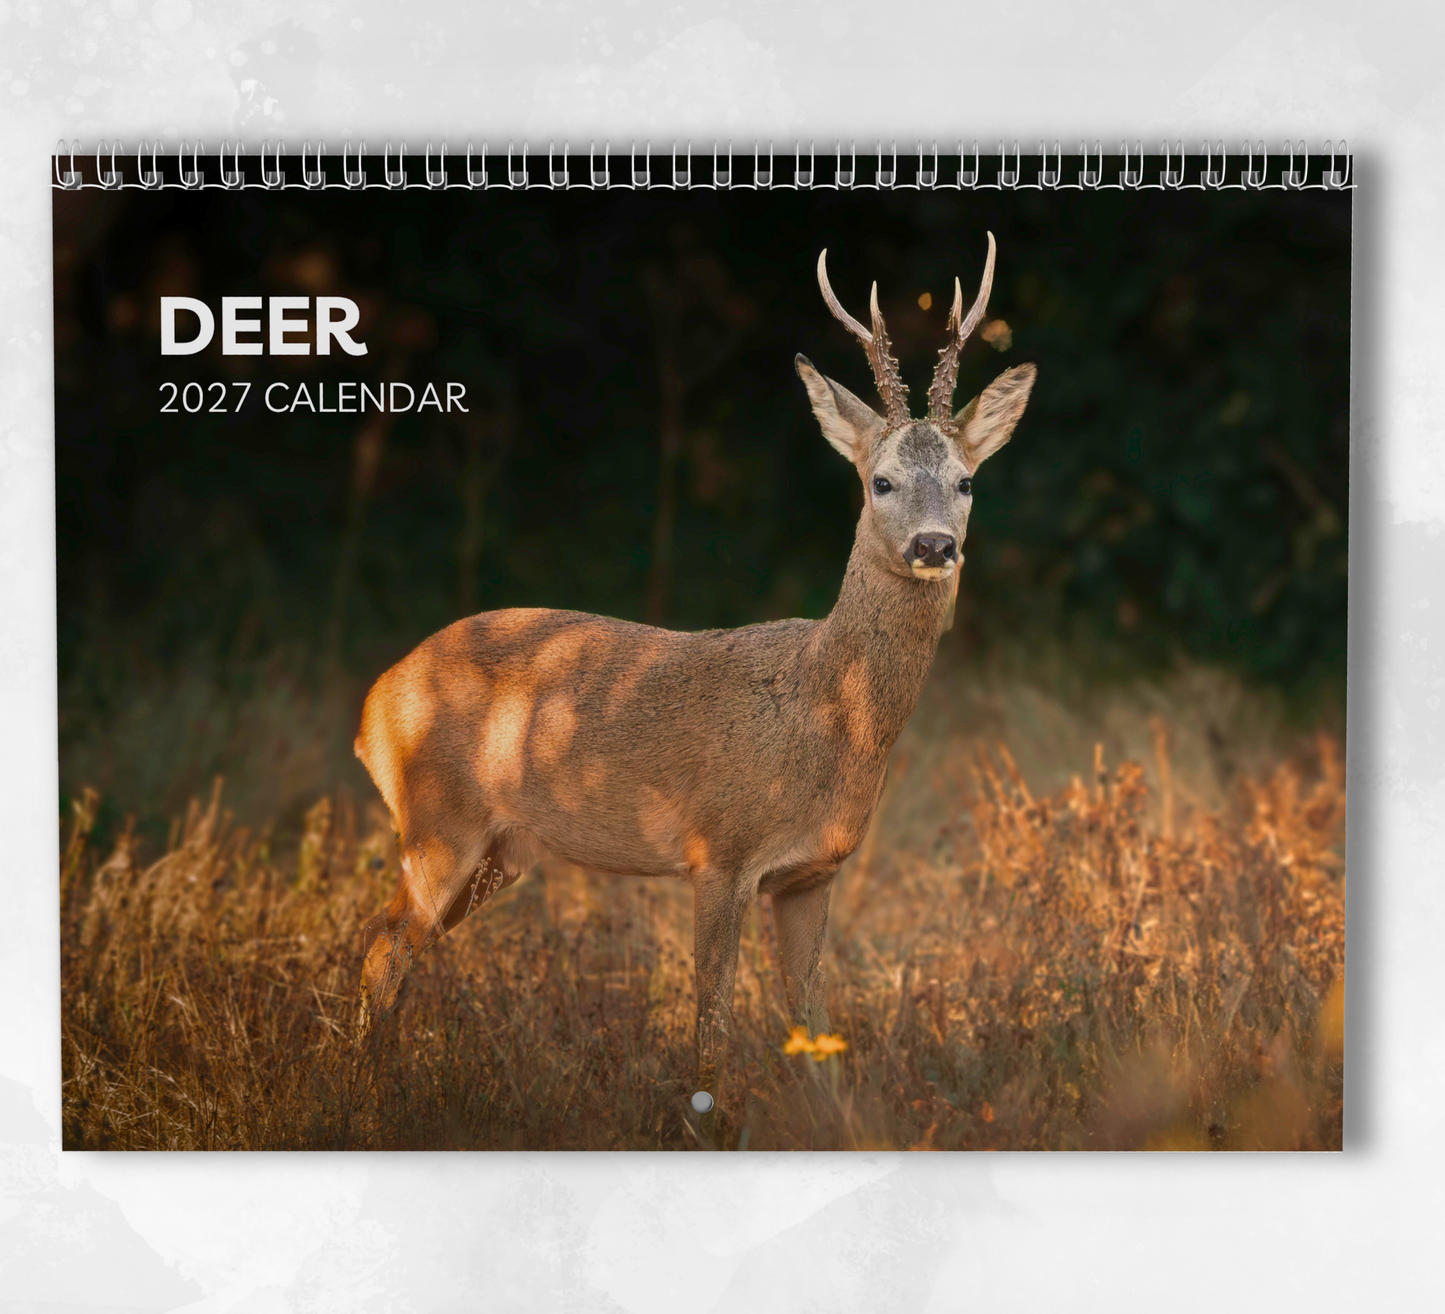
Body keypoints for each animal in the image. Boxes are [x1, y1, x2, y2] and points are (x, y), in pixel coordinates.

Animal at [353, 236, 1036, 1111]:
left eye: (965, 481)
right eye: (879, 480)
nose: (933, 545)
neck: (827, 714)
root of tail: (371, 702)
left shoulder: (811, 874)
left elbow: (815, 1028)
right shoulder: (719, 852)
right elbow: (709, 1026)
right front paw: (700, 1121)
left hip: (497, 851)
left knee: (389, 944)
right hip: (438, 821)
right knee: (384, 949)